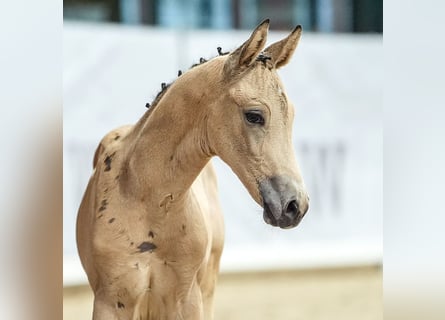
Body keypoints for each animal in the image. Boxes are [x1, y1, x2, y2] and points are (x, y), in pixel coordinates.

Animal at [76, 20, 308, 320]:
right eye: (254, 115)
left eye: (291, 116)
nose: (295, 205)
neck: (144, 199)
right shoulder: (110, 302)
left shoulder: (187, 299)